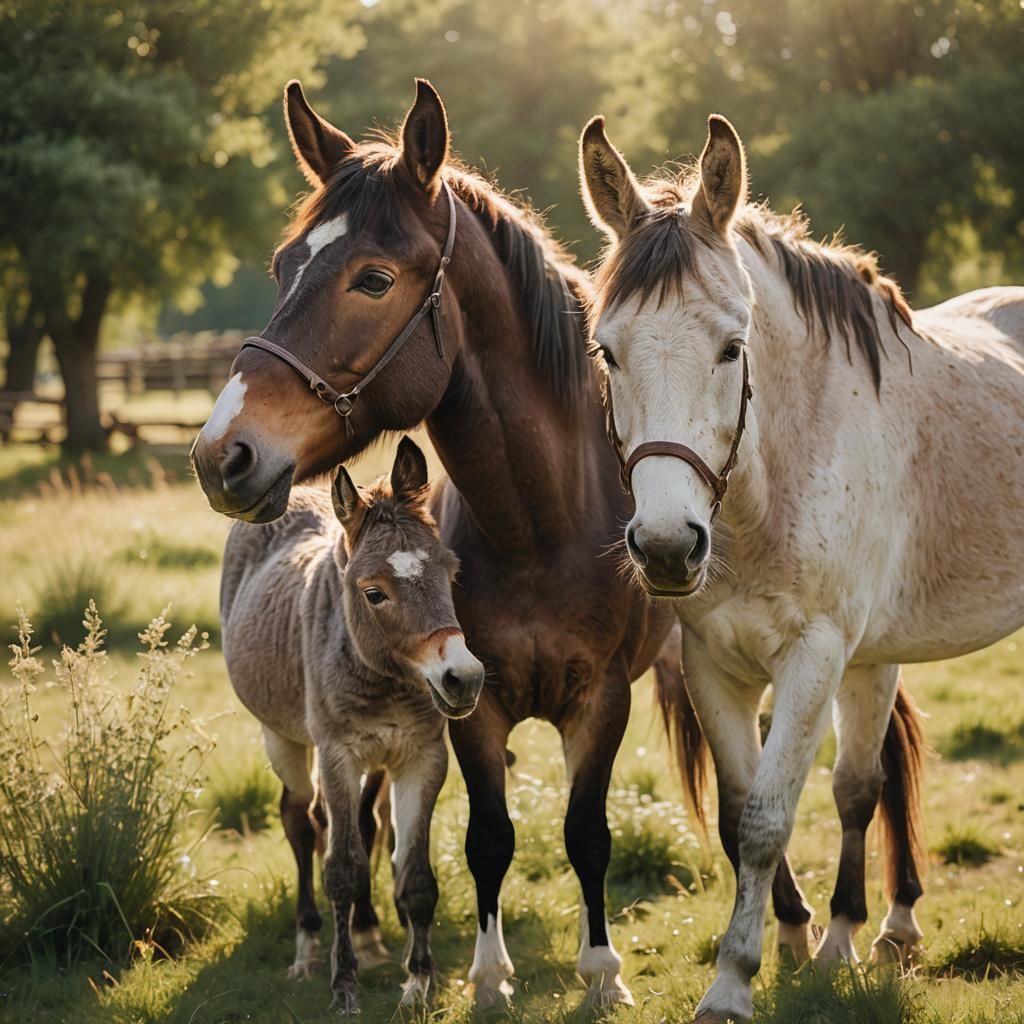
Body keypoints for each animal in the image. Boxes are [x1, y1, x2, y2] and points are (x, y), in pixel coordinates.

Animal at [220, 437, 485, 1013]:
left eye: (451, 573)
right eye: (374, 592)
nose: (464, 678)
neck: (383, 677)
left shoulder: (421, 757)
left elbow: (414, 874)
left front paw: (418, 983)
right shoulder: (337, 754)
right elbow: (341, 868)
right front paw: (343, 986)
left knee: (362, 825)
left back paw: (368, 934)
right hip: (284, 739)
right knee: (301, 821)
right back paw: (306, 946)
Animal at [580, 112, 1024, 1022]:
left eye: (730, 347)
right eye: (608, 351)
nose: (668, 545)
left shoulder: (814, 656)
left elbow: (771, 819)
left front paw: (738, 980)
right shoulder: (714, 662)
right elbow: (744, 812)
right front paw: (790, 946)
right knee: (865, 781)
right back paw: (881, 932)